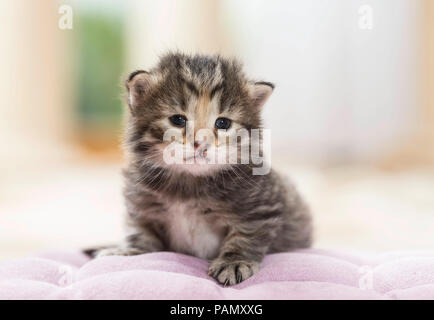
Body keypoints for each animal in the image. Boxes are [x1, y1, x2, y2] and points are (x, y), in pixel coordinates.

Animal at [86, 52, 312, 284]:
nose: (200, 143)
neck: (189, 183)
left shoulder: (259, 208)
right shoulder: (142, 206)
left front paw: (234, 262)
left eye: (223, 123)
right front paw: (130, 250)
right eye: (178, 120)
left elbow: (246, 236)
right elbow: (141, 233)